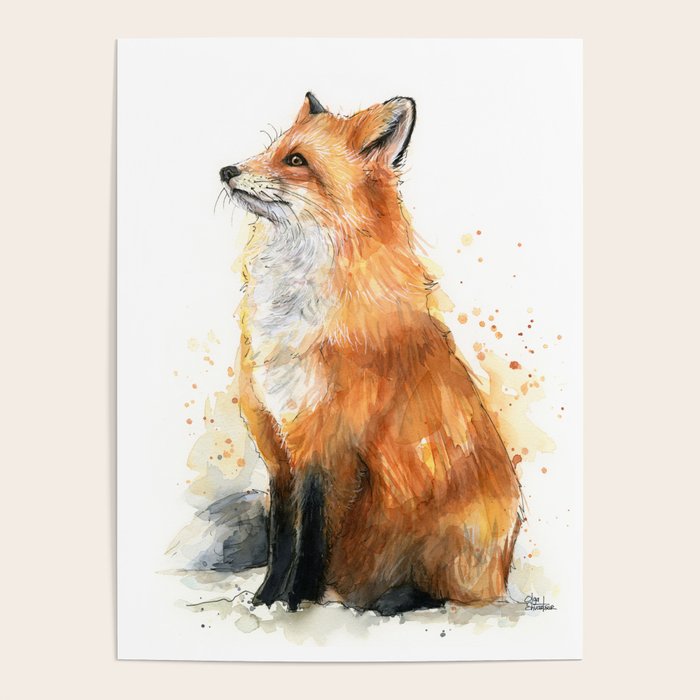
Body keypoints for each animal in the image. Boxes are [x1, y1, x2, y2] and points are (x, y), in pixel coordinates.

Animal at [219, 92, 521, 616]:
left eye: (295, 161)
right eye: (273, 150)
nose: (226, 170)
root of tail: (500, 575)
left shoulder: (329, 447)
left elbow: (311, 540)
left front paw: (296, 605)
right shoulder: (279, 447)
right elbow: (282, 539)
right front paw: (265, 602)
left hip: (458, 536)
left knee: (449, 596)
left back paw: (392, 601)